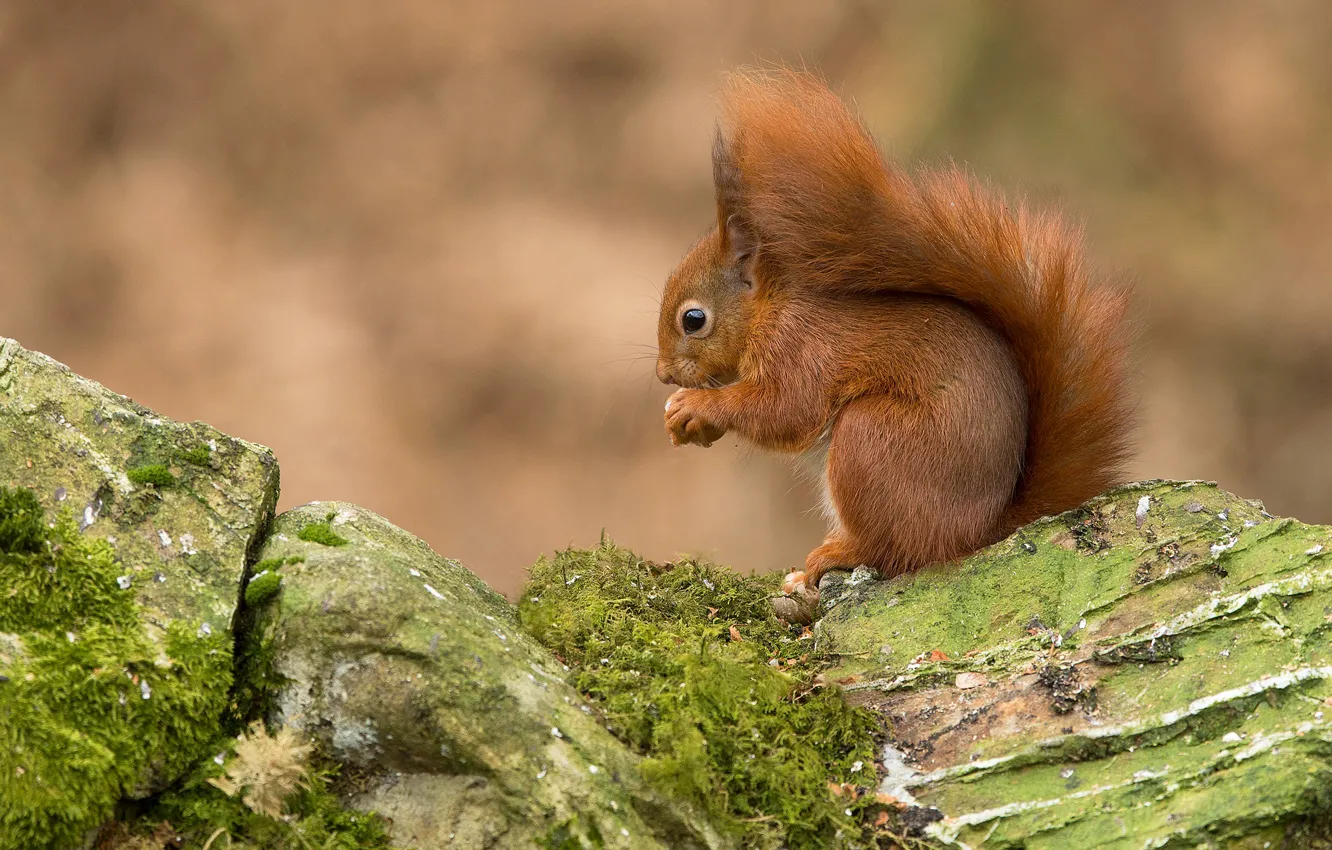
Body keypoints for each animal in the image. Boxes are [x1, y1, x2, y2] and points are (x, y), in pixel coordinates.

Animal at [655, 69, 1135, 596]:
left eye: (693, 319)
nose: (662, 374)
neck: (769, 308)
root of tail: (977, 533)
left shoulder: (801, 348)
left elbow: (785, 410)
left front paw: (695, 406)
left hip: (872, 441)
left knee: (894, 549)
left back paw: (835, 556)